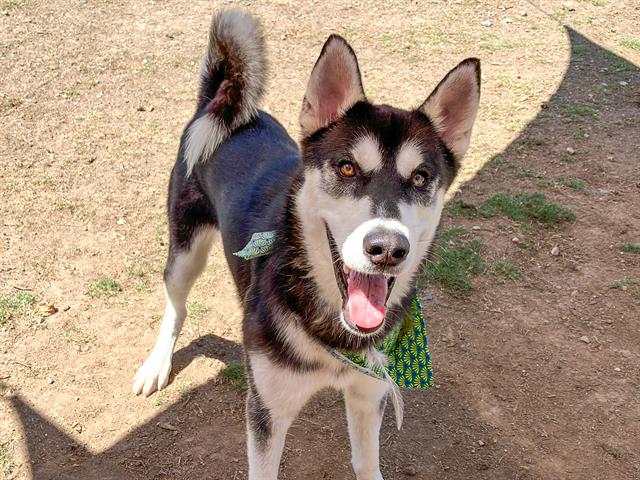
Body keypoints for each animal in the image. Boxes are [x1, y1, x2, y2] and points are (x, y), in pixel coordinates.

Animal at [131, 8, 480, 480]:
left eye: (422, 178)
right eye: (347, 168)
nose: (387, 249)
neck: (334, 332)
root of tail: (222, 105)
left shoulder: (369, 395)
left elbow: (366, 463)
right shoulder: (266, 410)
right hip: (186, 249)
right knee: (176, 304)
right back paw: (157, 364)